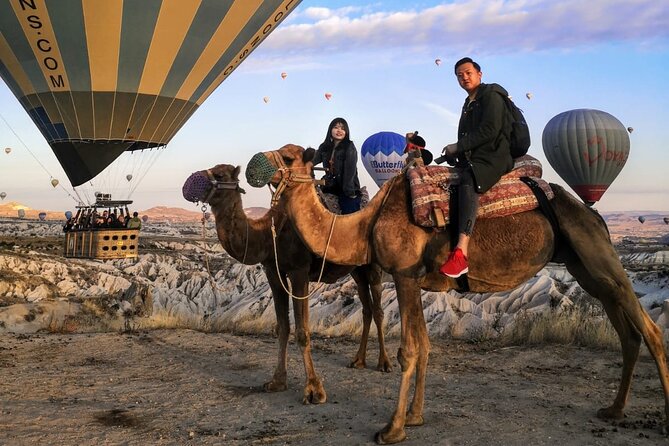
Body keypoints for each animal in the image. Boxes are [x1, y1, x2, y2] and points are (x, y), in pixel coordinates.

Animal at [187, 164, 392, 404]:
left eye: (219, 174)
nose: (191, 181)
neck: (268, 234)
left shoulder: (298, 271)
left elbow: (302, 331)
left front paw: (314, 391)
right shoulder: (273, 272)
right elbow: (282, 327)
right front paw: (277, 381)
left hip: (373, 265)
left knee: (377, 309)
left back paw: (384, 363)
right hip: (356, 269)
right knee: (366, 308)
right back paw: (358, 360)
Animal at [247, 144, 669, 444]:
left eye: (288, 155)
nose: (253, 165)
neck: (365, 224)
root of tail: (594, 214)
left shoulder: (403, 275)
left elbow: (409, 350)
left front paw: (393, 428)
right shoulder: (416, 280)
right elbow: (424, 345)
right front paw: (415, 416)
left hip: (597, 253)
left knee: (649, 329)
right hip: (583, 264)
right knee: (627, 330)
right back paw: (613, 410)